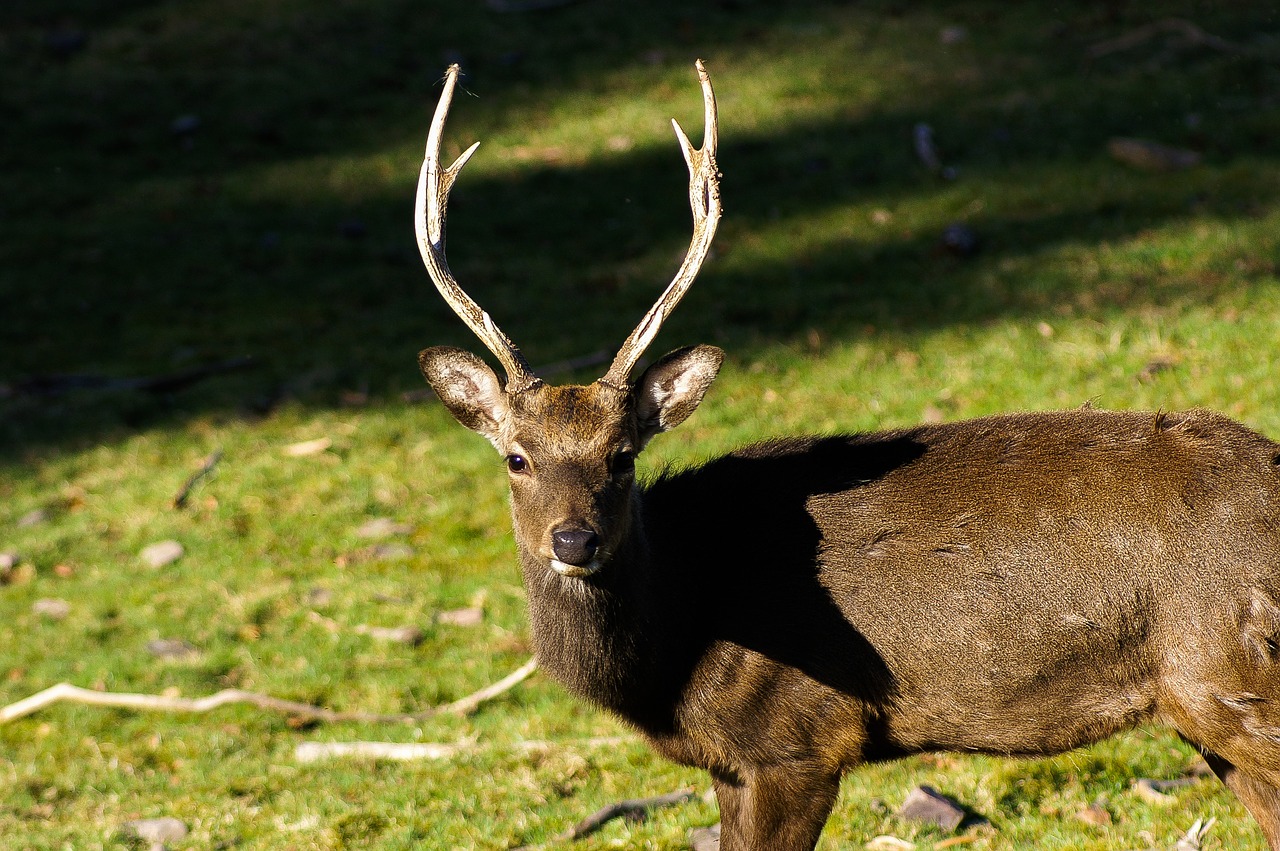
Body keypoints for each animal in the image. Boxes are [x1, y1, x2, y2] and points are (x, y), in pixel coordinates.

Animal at [412, 63, 1280, 844]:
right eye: (516, 458)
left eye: (623, 455)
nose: (574, 539)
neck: (675, 642)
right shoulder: (732, 763)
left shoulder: (798, 738)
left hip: (1229, 680)